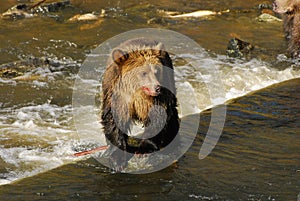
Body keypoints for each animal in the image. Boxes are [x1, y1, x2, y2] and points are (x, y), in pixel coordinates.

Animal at [101, 38, 180, 170]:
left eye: (156, 71)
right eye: (143, 73)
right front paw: (117, 159)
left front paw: (143, 150)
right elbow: (114, 120)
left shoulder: (158, 99)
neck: (138, 95)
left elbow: (158, 118)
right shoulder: (118, 97)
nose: (157, 87)